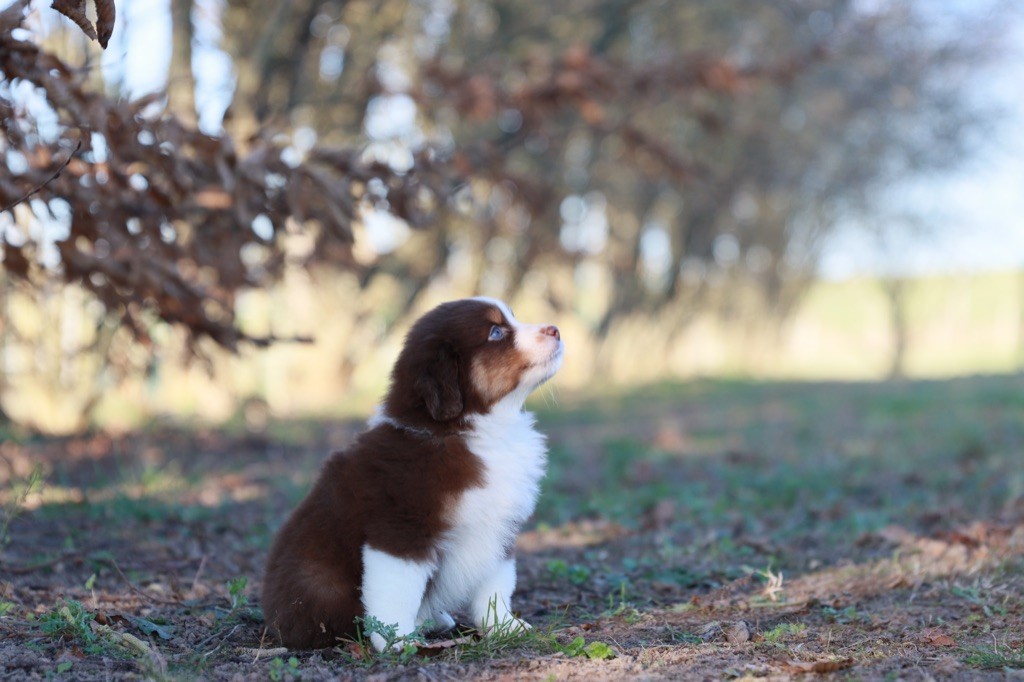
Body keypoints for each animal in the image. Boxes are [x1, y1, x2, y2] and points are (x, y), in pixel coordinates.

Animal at [260, 296, 565, 647]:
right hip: (320, 581)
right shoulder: (401, 530)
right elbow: (396, 591)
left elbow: (496, 584)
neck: (470, 432)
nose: (556, 329)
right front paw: (398, 642)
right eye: (496, 332)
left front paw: (503, 626)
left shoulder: (499, 528)